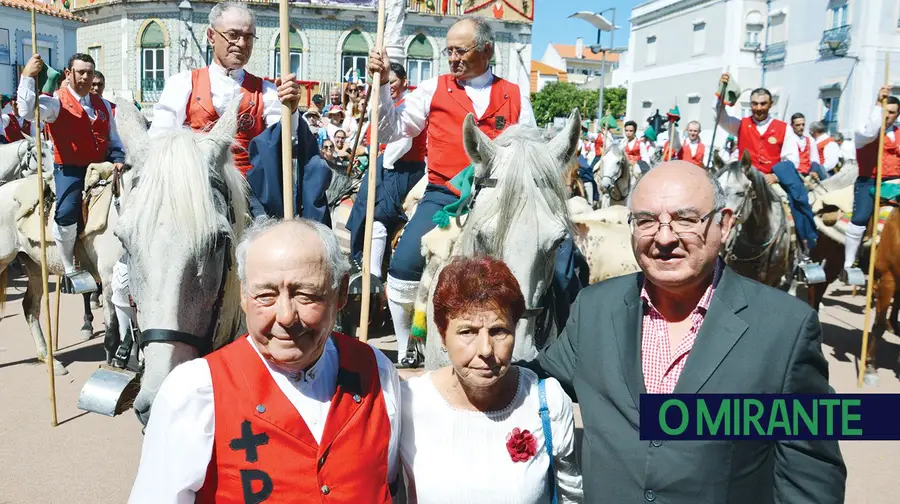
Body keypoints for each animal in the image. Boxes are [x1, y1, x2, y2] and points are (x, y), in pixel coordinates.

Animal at [0, 104, 143, 376]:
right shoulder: (109, 278)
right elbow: (113, 332)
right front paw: (113, 363)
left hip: (34, 265)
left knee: (30, 308)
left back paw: (50, 360)